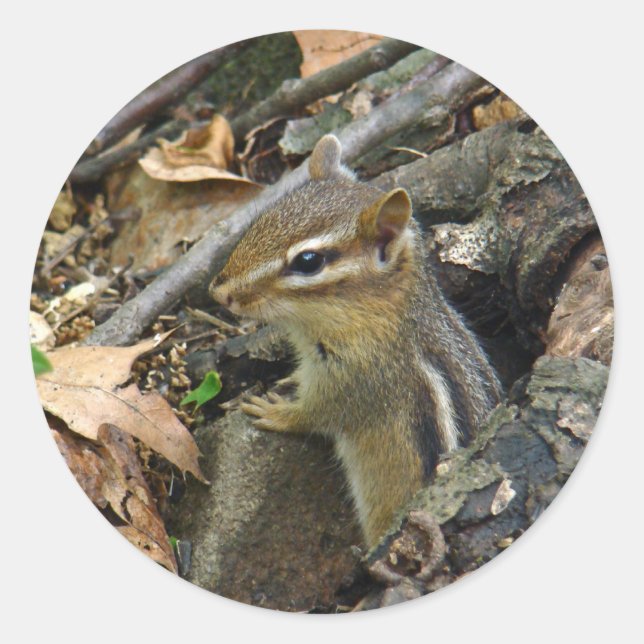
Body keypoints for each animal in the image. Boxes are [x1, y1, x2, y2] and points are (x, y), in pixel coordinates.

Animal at [210, 135, 502, 548]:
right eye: (263, 219)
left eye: (308, 261)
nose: (219, 293)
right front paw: (290, 380)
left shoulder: (361, 379)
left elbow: (319, 414)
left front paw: (275, 411)